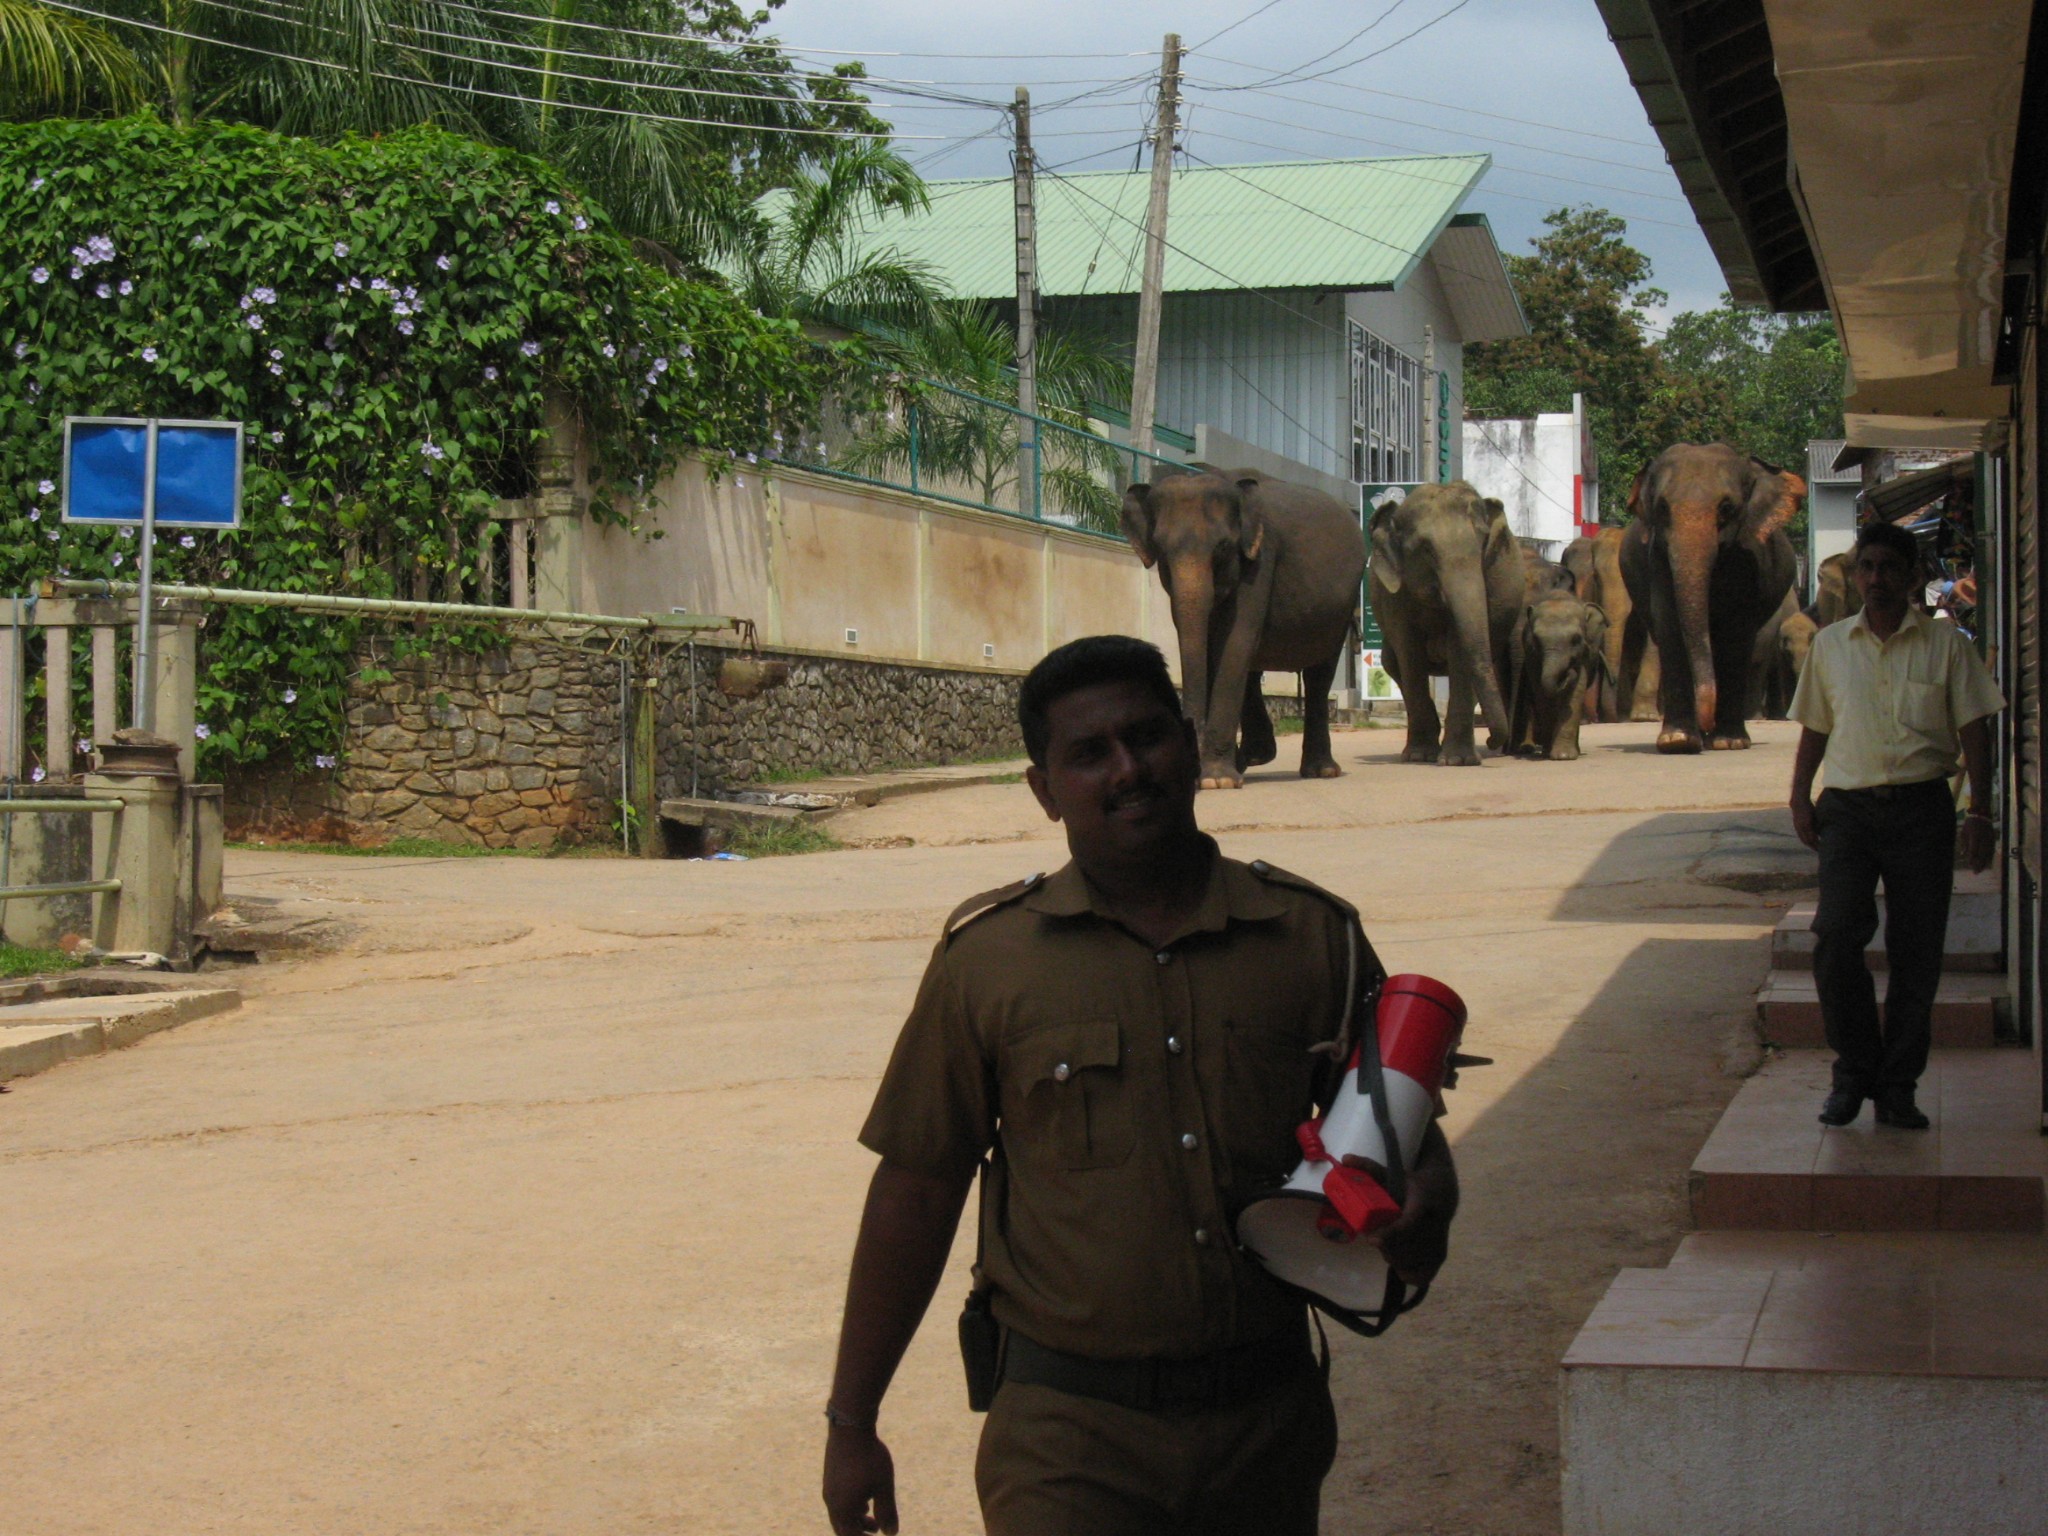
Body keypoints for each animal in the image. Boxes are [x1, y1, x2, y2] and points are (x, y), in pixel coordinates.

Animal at [1114, 468, 1368, 786]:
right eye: (1160, 549)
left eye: (1223, 547)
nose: (1192, 768)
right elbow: (1210, 647)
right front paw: (1211, 774)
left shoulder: (1260, 560)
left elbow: (1235, 642)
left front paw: (1216, 780)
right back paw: (1255, 756)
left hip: (1341, 609)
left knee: (1318, 675)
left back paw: (1319, 771)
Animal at [1368, 483, 1531, 765]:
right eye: (1425, 550)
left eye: (1482, 544)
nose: (1491, 740)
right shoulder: (1394, 596)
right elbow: (1409, 653)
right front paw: (1419, 756)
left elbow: (1460, 650)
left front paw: (1458, 761)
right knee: (1391, 662)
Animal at [1515, 589, 1605, 765]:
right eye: (1535, 639)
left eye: (1576, 639)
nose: (1568, 671)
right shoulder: (1531, 655)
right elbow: (1541, 692)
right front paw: (1548, 753)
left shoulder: (1585, 654)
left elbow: (1576, 692)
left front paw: (1564, 756)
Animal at [1622, 442, 1802, 753]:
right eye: (1662, 508)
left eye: (1727, 508)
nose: (1706, 723)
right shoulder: (1659, 559)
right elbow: (1670, 624)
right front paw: (1678, 742)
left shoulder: (1748, 558)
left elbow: (1736, 629)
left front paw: (1730, 742)